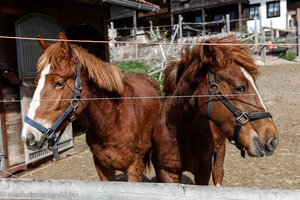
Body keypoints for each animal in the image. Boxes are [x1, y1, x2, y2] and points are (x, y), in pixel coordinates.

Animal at [22, 34, 161, 181]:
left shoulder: (134, 169)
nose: (28, 136)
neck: (112, 124)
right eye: (36, 82)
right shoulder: (102, 168)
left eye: (59, 83)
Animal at [152, 35, 278, 184]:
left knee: (218, 173)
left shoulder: (203, 171)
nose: (273, 140)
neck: (181, 133)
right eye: (239, 87)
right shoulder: (166, 172)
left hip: (220, 148)